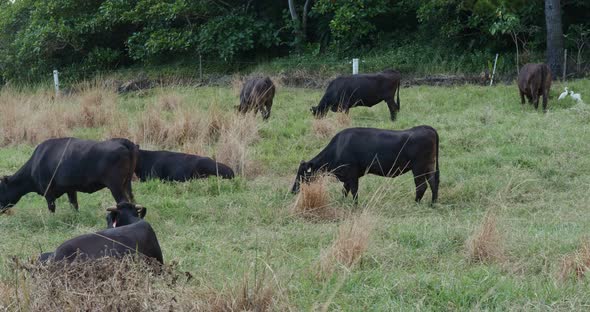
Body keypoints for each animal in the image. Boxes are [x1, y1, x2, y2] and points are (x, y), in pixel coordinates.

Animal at [0, 138, 138, 213]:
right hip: (127, 184)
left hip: (115, 186)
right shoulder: (70, 189)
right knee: (133, 200)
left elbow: (51, 208)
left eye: (0, 190)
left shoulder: (48, 192)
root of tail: (122, 142)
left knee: (123, 202)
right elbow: (74, 205)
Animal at [294, 125, 442, 204]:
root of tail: (426, 127)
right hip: (429, 166)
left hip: (419, 168)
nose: (293, 190)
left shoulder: (352, 173)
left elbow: (354, 190)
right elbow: (345, 190)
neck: (338, 148)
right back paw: (433, 203)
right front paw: (342, 202)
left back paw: (416, 203)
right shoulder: (348, 176)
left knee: (421, 186)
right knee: (433, 183)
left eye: (301, 173)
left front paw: (355, 206)